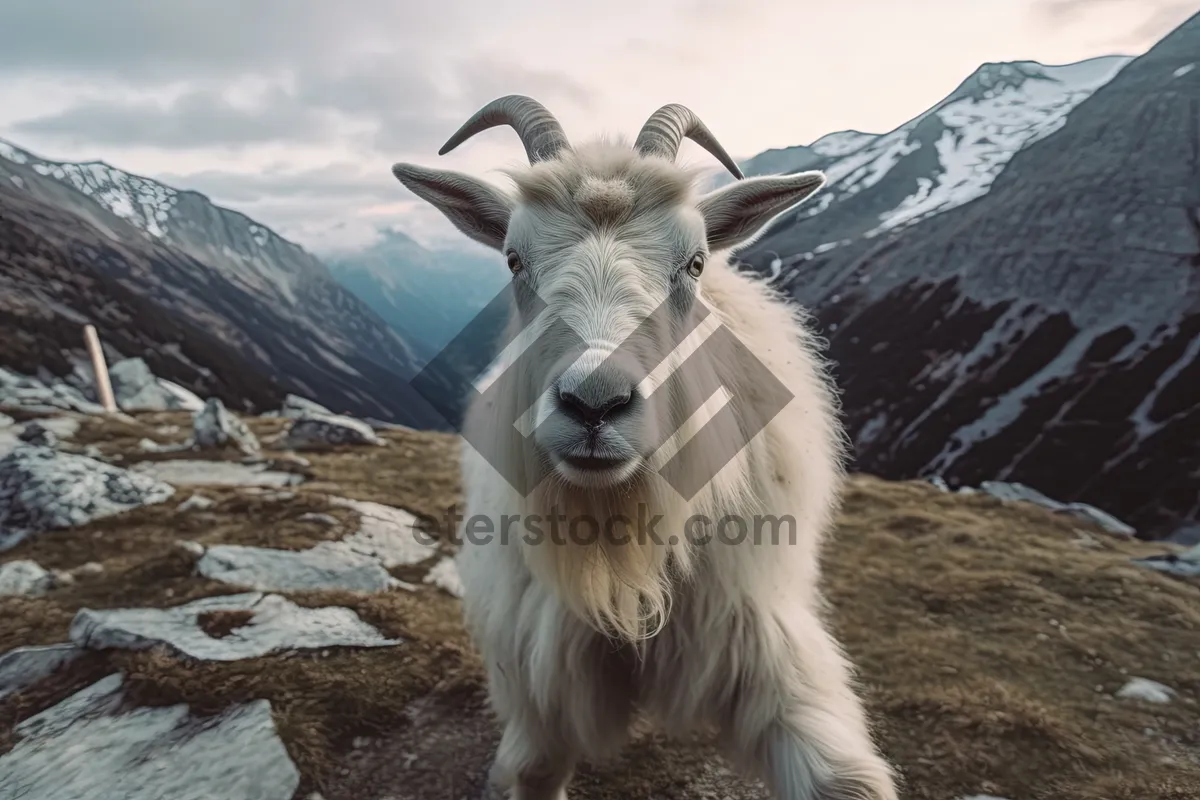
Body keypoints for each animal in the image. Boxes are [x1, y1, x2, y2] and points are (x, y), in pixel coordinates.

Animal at [393, 95, 902, 800]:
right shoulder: (542, 688)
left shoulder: (761, 642)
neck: (620, 549)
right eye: (513, 260)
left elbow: (844, 780)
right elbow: (532, 768)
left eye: (694, 263)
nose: (594, 404)